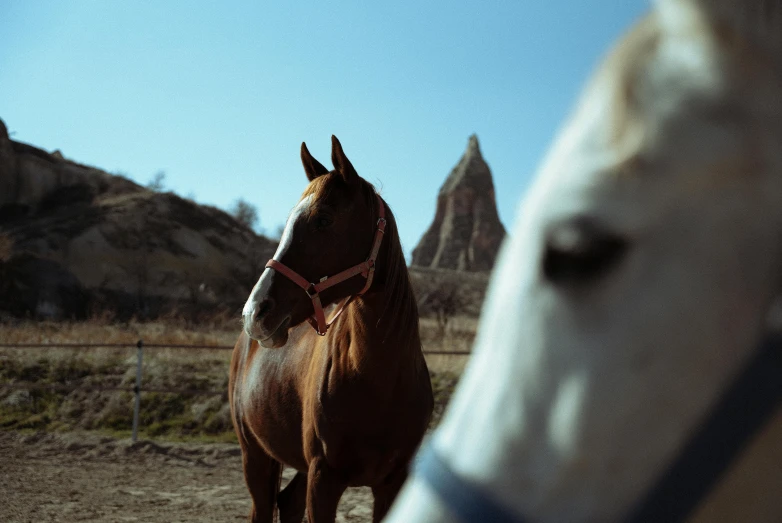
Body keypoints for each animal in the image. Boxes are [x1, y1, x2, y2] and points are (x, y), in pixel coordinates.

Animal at [230, 136, 434, 523]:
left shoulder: (393, 483)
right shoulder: (324, 480)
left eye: (322, 219)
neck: (378, 382)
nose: (254, 311)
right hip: (256, 457)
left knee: (288, 502)